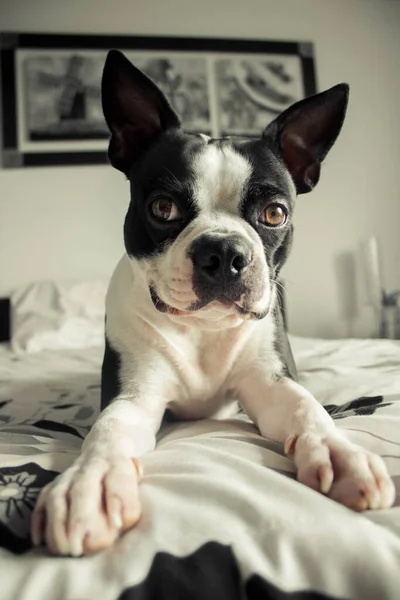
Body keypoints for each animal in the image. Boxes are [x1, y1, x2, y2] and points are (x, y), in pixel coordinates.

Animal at [31, 49, 394, 556]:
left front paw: (342, 453)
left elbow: (309, 408)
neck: (203, 329)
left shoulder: (271, 383)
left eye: (275, 213)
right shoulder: (135, 395)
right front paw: (89, 484)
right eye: (162, 208)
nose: (224, 252)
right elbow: (108, 429)